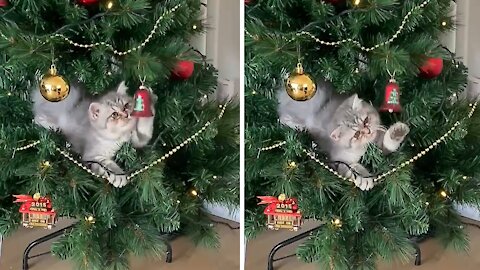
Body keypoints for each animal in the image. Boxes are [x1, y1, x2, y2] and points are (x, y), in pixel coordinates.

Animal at [278, 80, 408, 190]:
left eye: (366, 121)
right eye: (356, 134)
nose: (367, 132)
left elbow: (387, 144)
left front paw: (397, 132)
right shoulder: (336, 159)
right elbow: (349, 166)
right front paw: (363, 178)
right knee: (283, 117)